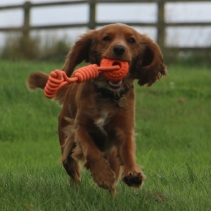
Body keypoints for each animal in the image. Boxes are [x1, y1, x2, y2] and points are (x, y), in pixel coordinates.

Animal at [27, 23, 166, 193]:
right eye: (106, 38)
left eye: (131, 40)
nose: (119, 49)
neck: (107, 94)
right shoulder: (80, 128)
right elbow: (91, 151)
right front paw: (102, 176)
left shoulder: (124, 129)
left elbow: (127, 151)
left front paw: (133, 174)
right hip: (66, 142)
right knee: (72, 170)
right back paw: (77, 188)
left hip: (110, 154)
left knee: (112, 179)